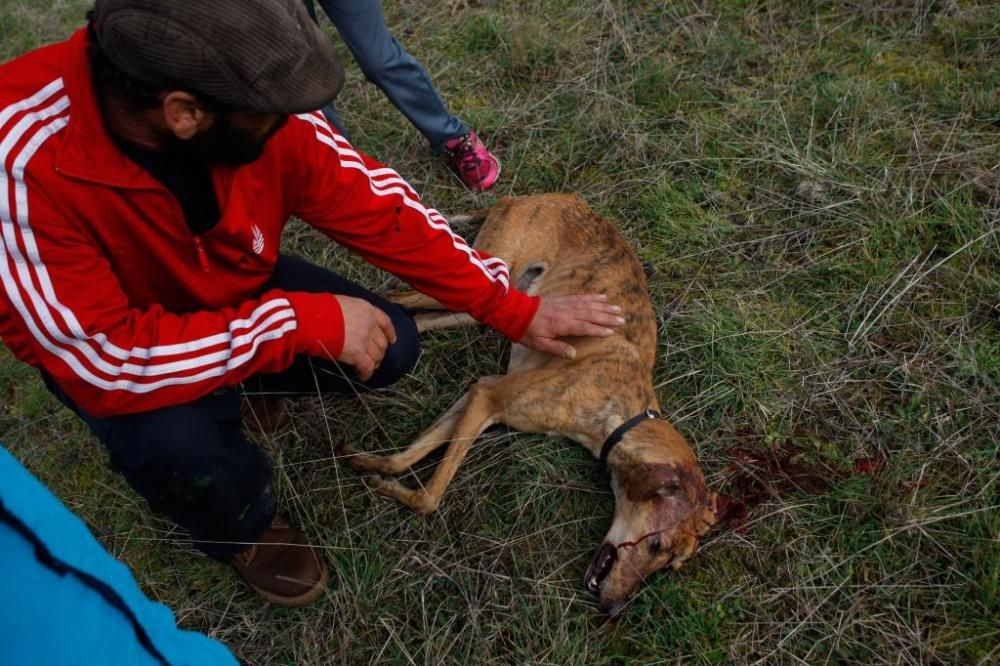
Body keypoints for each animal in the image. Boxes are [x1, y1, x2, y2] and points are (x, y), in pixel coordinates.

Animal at [344, 195, 720, 616]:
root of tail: (540, 196)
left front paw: (371, 466)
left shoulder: (479, 394)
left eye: (670, 566)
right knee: (397, 297)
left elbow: (410, 455)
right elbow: (430, 497)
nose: (613, 610)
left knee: (421, 316)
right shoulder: (490, 397)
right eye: (656, 545)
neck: (627, 412)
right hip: (475, 273)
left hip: (484, 300)